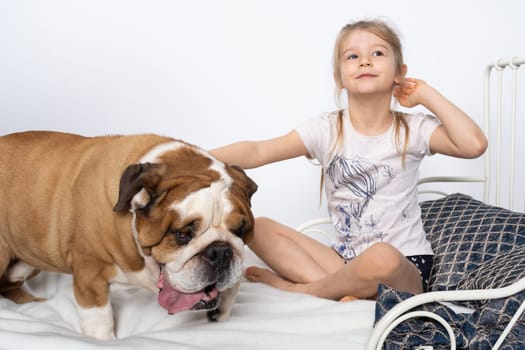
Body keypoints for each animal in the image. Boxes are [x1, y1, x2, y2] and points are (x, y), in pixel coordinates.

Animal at [0, 131, 256, 340]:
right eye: (182, 234)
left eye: (240, 231)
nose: (220, 251)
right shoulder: (90, 274)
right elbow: (100, 318)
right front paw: (104, 341)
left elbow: (235, 282)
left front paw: (223, 308)